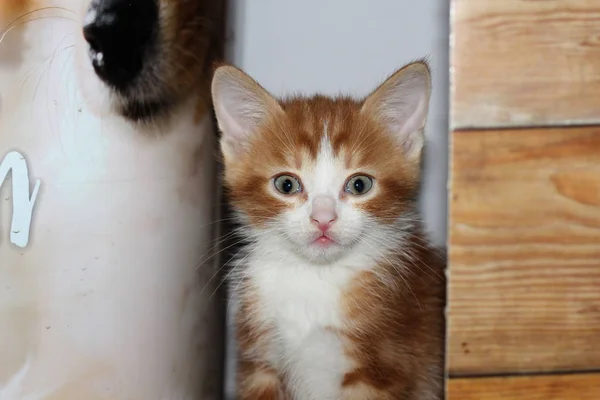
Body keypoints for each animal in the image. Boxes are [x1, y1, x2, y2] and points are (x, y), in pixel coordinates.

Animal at [211, 60, 446, 400]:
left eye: (360, 185)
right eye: (286, 184)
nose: (323, 218)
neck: (314, 277)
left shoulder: (384, 368)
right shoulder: (261, 364)